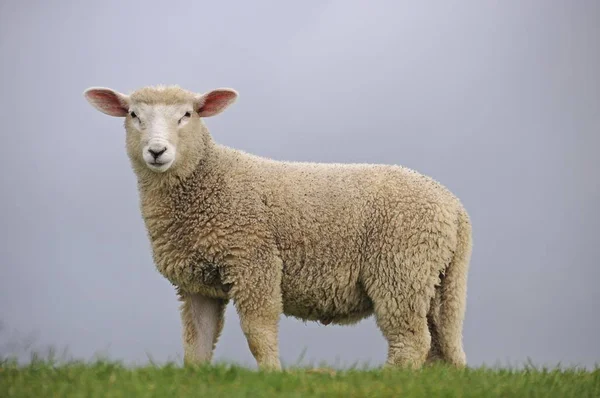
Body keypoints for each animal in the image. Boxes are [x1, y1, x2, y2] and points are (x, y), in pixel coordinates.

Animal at [83, 83, 474, 370]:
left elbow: (259, 332)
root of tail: (454, 207)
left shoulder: (253, 261)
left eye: (187, 115)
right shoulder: (197, 284)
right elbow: (197, 343)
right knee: (440, 344)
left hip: (401, 268)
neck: (207, 180)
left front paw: (272, 375)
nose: (157, 151)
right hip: (438, 279)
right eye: (133, 115)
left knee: (411, 341)